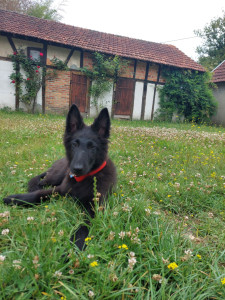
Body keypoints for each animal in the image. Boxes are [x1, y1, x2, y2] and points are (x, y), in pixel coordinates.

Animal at [3, 104, 117, 250]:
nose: (76, 169)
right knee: (40, 183)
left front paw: (75, 245)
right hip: (55, 177)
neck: (82, 180)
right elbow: (38, 194)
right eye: (74, 144)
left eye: (92, 147)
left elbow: (83, 226)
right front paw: (15, 199)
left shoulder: (95, 207)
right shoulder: (60, 189)